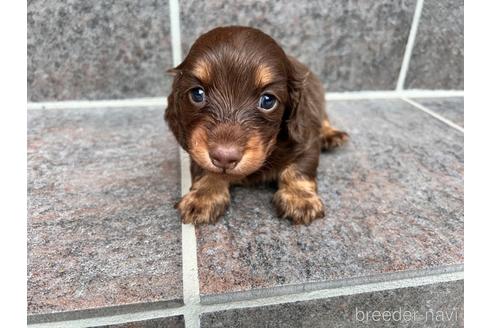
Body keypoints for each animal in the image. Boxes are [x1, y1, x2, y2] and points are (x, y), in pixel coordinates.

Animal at [164, 26, 346, 226]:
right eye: (197, 94)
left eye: (268, 100)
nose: (224, 158)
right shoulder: (195, 146)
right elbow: (205, 169)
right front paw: (204, 196)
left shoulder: (306, 139)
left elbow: (300, 168)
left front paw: (299, 198)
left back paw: (330, 134)